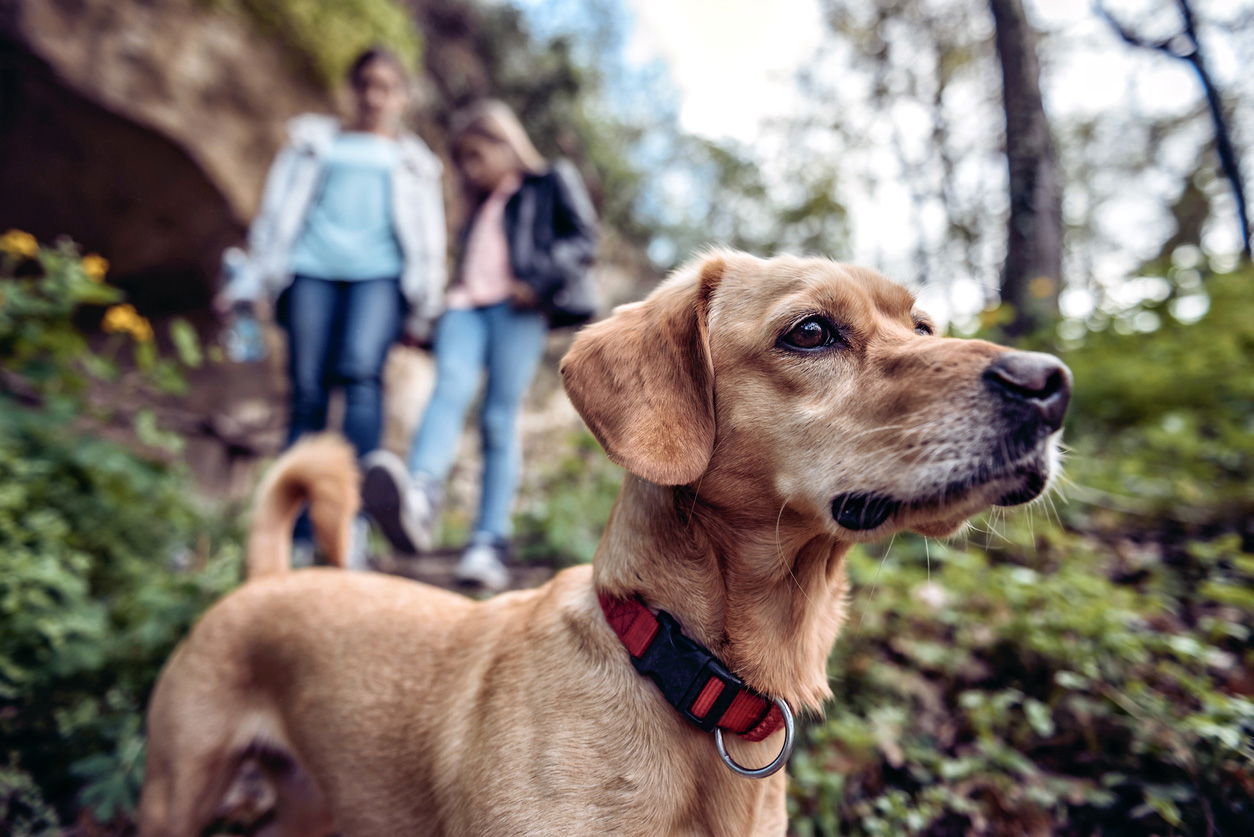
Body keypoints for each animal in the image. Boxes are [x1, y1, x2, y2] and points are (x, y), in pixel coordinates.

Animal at [142, 252, 1073, 833]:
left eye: (924, 326)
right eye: (810, 331)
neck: (685, 670)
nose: (1050, 384)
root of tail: (266, 578)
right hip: (176, 790)